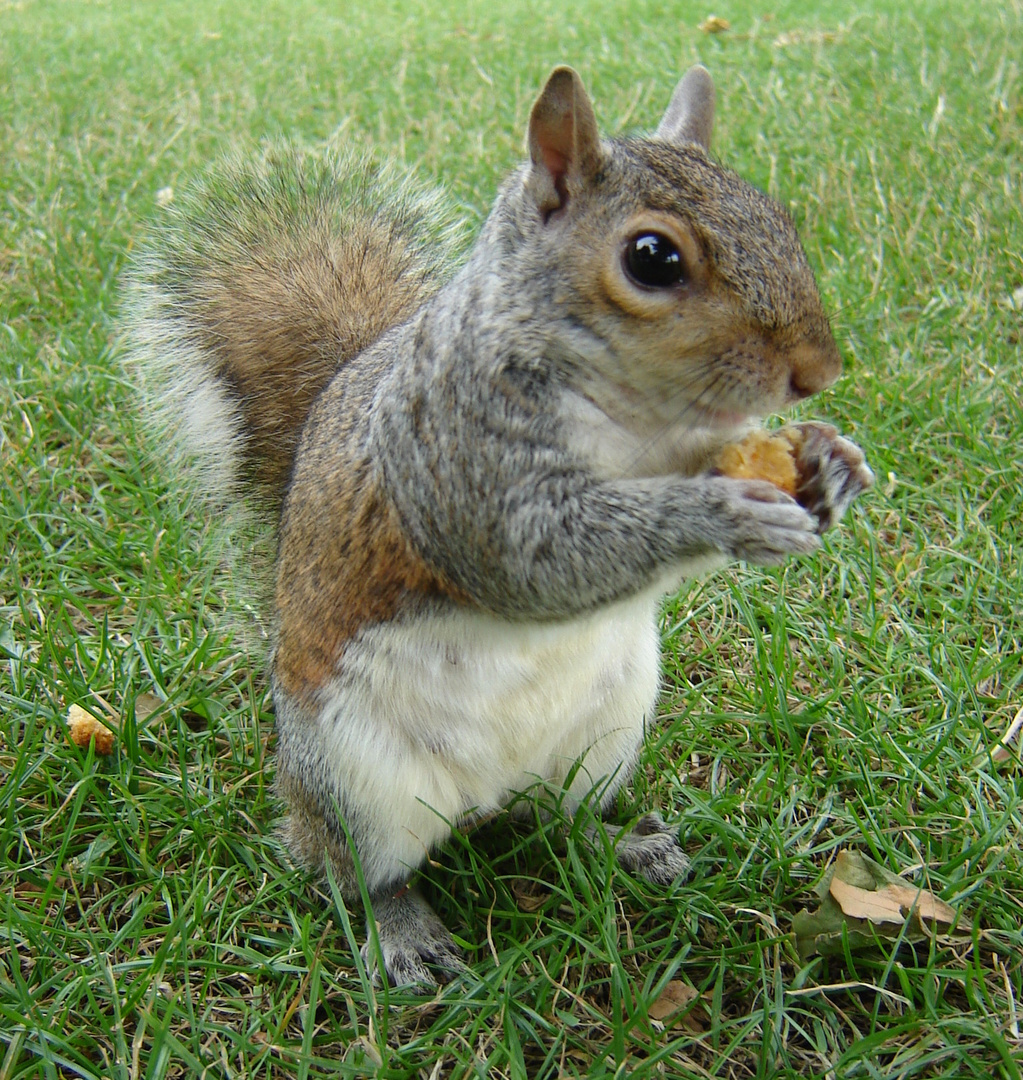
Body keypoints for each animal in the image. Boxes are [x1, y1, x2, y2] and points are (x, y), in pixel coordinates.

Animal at [119, 61, 872, 989]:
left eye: (778, 217)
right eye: (651, 258)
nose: (816, 372)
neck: (641, 419)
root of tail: (482, 800)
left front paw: (831, 462)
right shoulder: (456, 462)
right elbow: (535, 559)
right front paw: (718, 513)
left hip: (603, 738)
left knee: (555, 818)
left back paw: (622, 845)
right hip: (355, 781)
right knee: (354, 870)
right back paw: (402, 933)